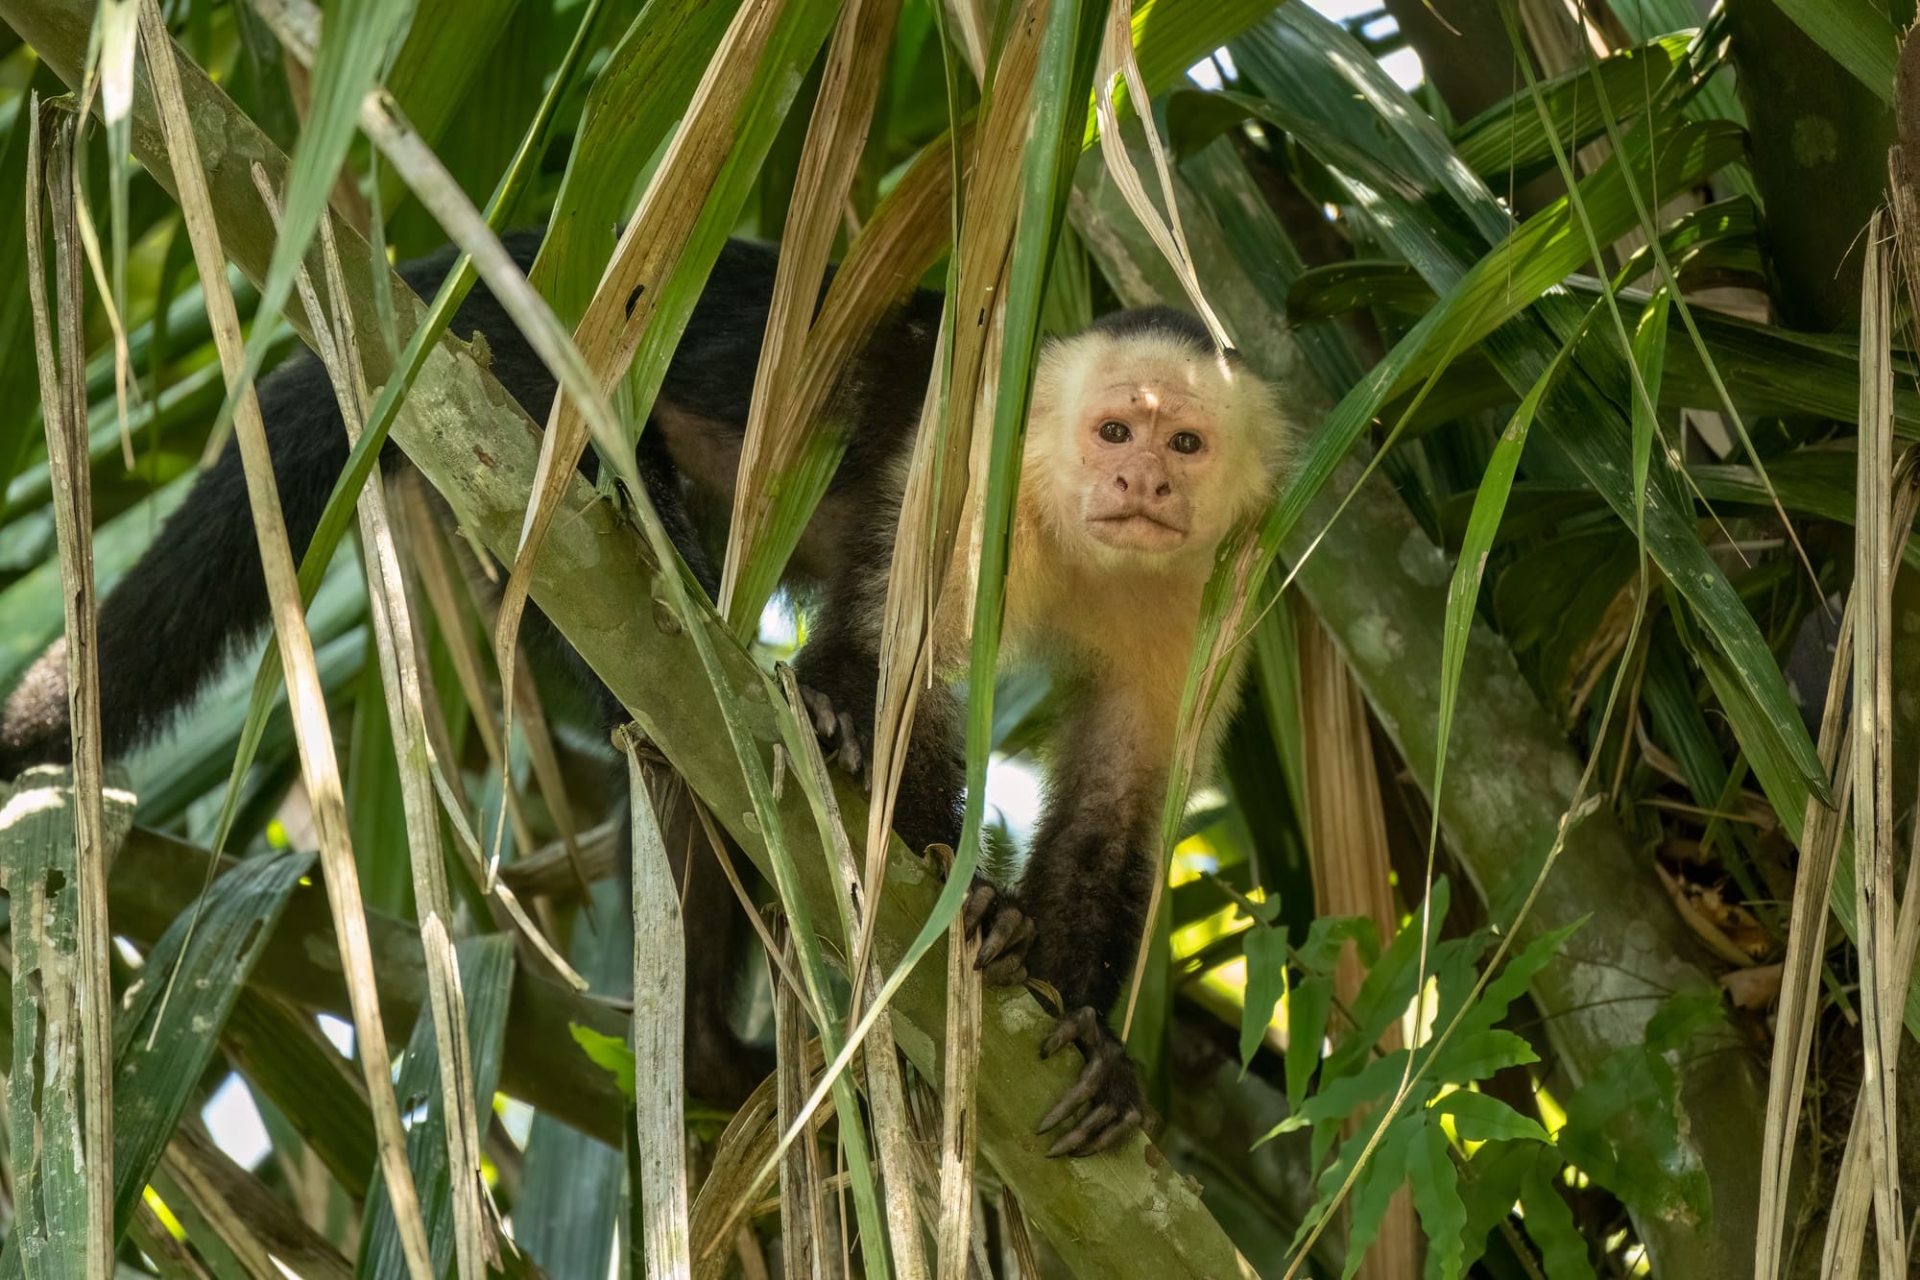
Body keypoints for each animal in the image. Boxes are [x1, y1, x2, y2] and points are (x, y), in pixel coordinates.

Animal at [0, 228, 1287, 1157]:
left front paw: (1084, 1027)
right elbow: (882, 670)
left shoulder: (1214, 590)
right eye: (1113, 428)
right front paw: (962, 900)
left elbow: (1117, 807)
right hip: (505, 403)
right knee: (660, 670)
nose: (1138, 481)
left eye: (1182, 444)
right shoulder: (968, 475)